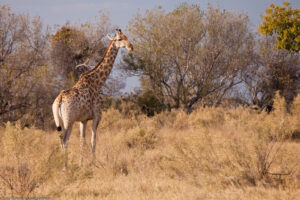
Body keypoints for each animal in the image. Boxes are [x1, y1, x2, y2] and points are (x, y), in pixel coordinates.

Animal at [52, 28, 133, 165]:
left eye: (126, 36)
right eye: (119, 39)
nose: (130, 47)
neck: (97, 82)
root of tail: (60, 100)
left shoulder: (83, 120)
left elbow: (82, 142)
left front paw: (81, 164)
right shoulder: (97, 116)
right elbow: (93, 140)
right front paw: (93, 163)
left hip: (59, 121)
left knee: (61, 140)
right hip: (69, 121)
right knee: (64, 141)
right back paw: (65, 167)